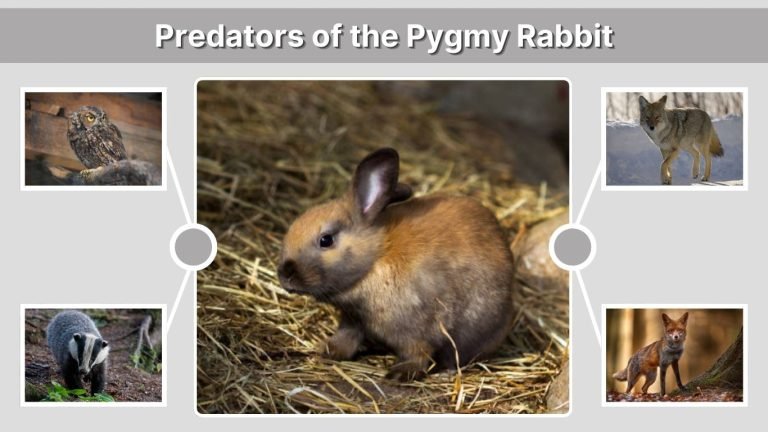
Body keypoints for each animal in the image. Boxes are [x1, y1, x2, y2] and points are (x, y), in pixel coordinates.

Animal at [277, 148, 515, 381]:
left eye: (326, 240)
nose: (284, 275)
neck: (375, 259)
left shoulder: (417, 330)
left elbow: (418, 354)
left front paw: (399, 373)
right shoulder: (354, 320)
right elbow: (346, 339)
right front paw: (326, 351)